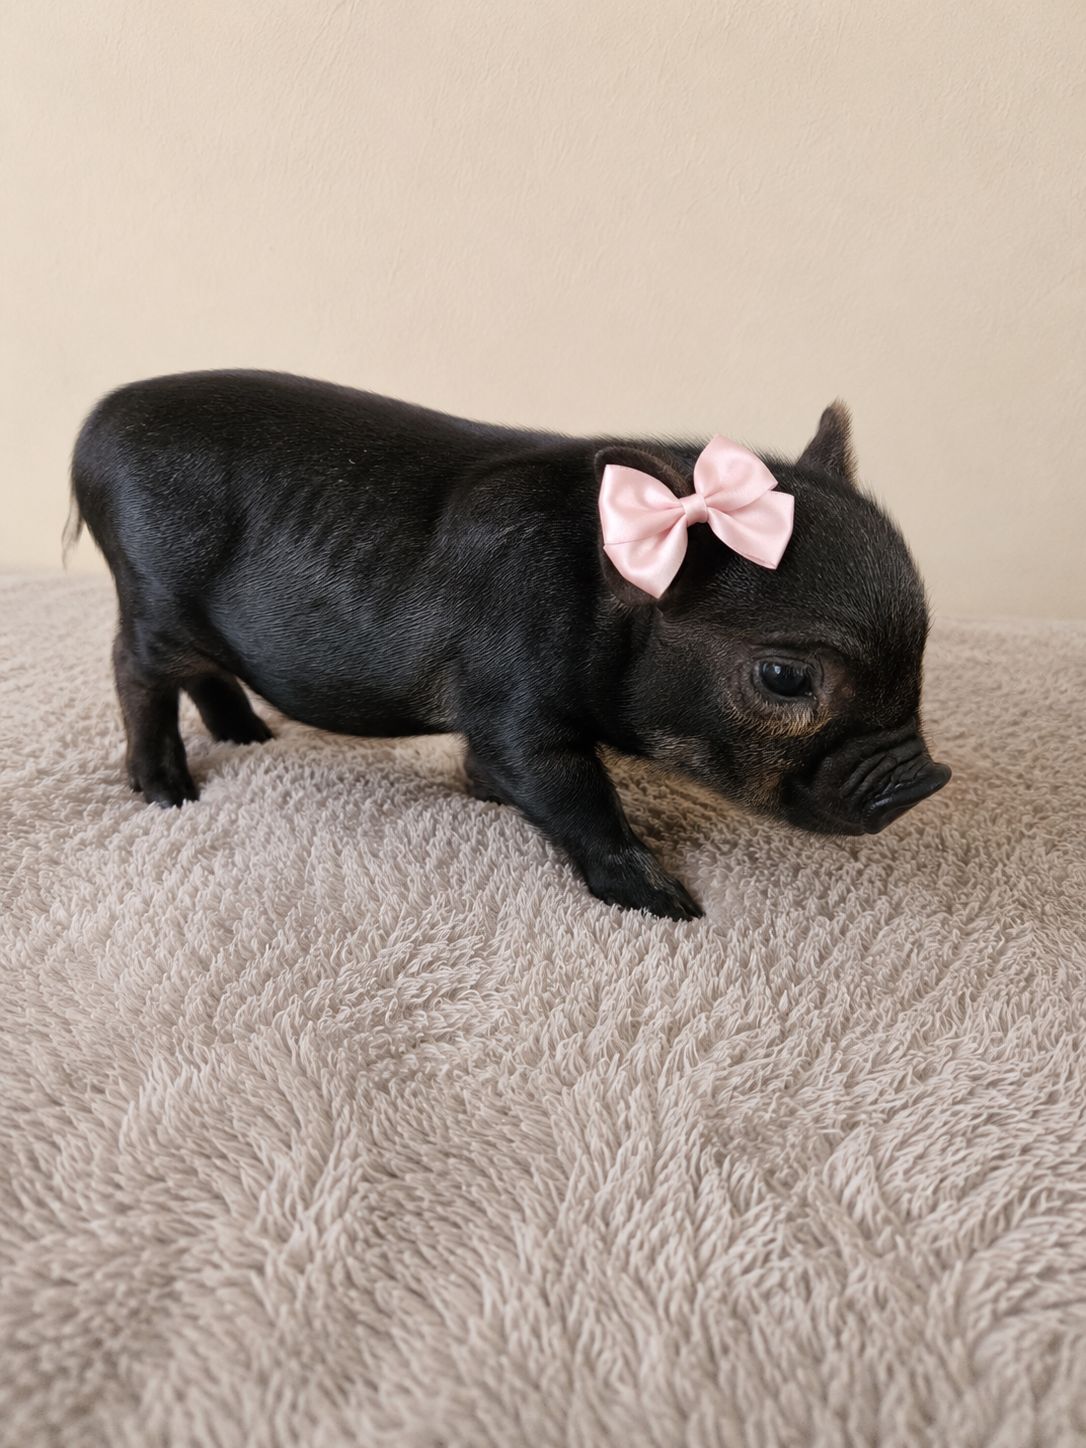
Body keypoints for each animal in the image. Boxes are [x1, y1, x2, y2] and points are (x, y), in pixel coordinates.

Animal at [68, 370, 950, 919]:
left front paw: (486, 794)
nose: (924, 779)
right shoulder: (516, 703)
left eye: (922, 649)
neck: (595, 604)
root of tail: (93, 427)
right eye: (783, 677)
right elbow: (575, 796)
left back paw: (252, 736)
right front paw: (672, 906)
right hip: (151, 598)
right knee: (134, 673)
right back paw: (170, 793)